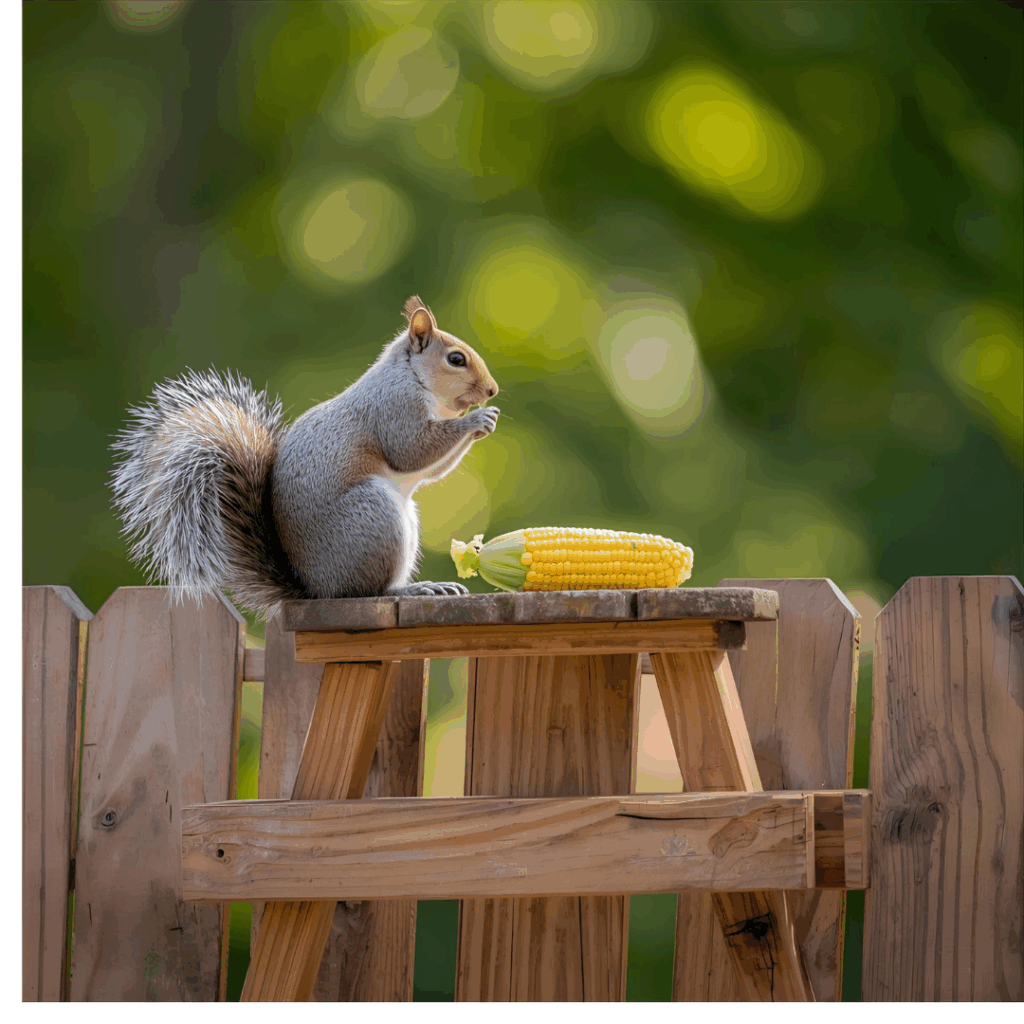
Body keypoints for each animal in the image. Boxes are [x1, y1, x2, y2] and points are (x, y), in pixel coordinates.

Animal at [111, 295, 500, 618]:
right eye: (456, 359)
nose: (492, 390)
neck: (412, 376)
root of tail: (314, 588)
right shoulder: (393, 407)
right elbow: (411, 452)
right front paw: (476, 419)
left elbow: (431, 469)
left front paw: (487, 421)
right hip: (374, 517)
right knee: (365, 591)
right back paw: (412, 589)